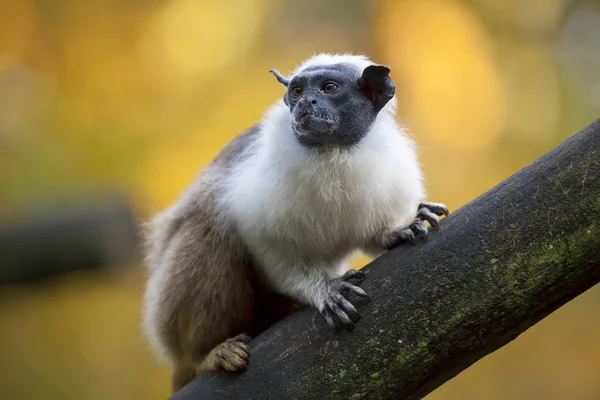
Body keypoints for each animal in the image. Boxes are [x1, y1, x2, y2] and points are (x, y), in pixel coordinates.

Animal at [143, 52, 448, 390]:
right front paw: (322, 289)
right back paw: (206, 355)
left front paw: (399, 230)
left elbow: (375, 234)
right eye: (298, 91)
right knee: (211, 220)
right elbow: (273, 256)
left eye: (329, 88)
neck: (332, 154)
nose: (305, 103)